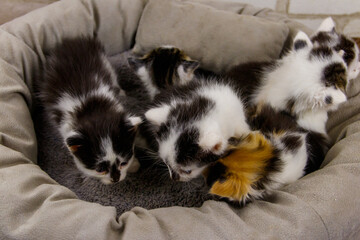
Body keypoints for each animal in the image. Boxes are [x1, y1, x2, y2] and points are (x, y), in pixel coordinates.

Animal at [38, 36, 142, 185]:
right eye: (100, 169)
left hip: (105, 63)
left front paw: (133, 164)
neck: (92, 110)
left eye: (123, 163)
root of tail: (71, 41)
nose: (115, 179)